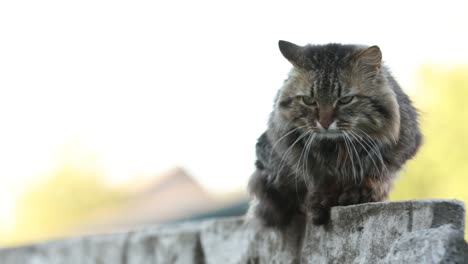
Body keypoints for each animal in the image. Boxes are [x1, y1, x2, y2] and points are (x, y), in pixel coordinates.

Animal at [249, 39, 424, 227]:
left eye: (345, 100)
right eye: (309, 100)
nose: (324, 123)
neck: (336, 149)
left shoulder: (398, 150)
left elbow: (375, 176)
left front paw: (359, 192)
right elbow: (320, 183)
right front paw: (321, 202)